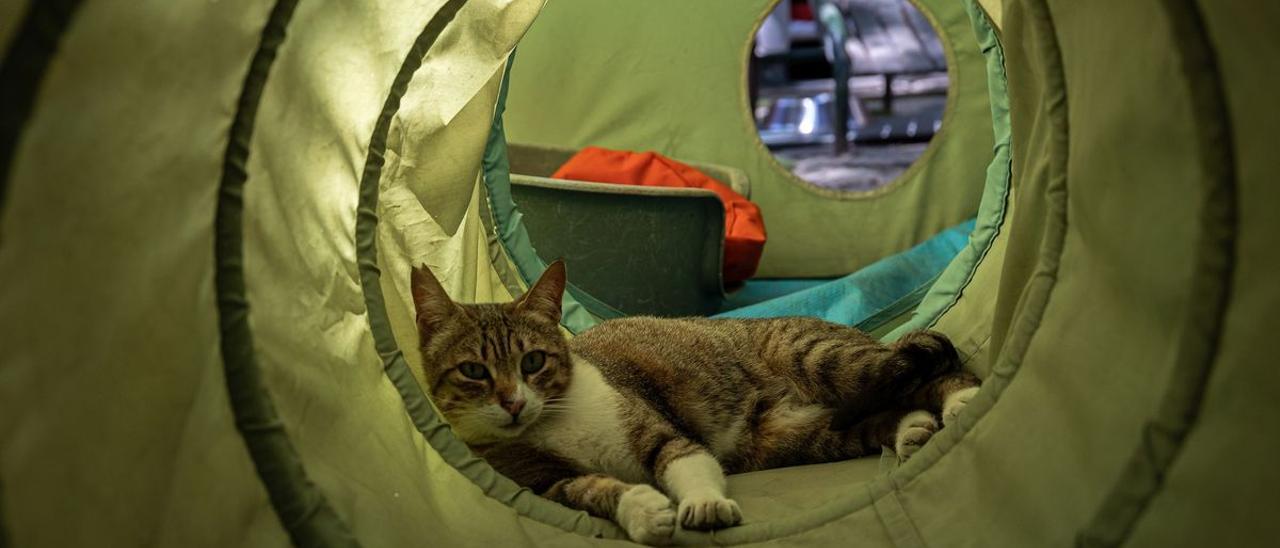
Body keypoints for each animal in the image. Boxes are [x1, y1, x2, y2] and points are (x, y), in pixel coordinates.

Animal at [409, 259, 977, 542]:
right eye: (474, 371)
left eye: (532, 362)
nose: (512, 403)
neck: (552, 423)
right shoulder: (540, 483)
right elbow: (591, 489)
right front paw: (642, 511)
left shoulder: (659, 429)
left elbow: (685, 460)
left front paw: (703, 505)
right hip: (802, 436)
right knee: (886, 407)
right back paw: (913, 429)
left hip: (822, 358)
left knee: (928, 365)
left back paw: (963, 400)